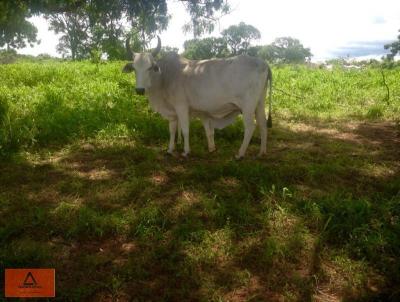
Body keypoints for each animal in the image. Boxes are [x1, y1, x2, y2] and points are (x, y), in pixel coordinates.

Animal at [122, 37, 272, 158]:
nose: (140, 90)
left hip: (247, 106)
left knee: (250, 127)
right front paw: (170, 150)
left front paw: (186, 152)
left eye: (150, 67)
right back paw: (262, 152)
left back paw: (240, 154)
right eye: (134, 68)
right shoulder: (173, 113)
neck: (166, 76)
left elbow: (185, 129)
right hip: (260, 103)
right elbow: (173, 130)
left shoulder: (181, 107)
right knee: (263, 124)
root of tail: (264, 63)